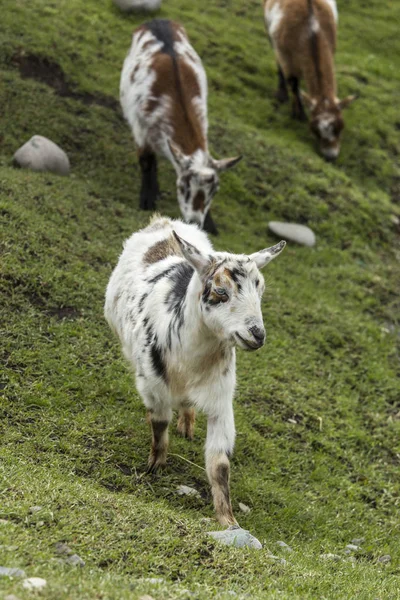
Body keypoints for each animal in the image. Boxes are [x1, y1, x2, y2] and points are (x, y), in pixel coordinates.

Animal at [120, 19, 242, 233]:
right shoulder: (141, 129)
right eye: (184, 187)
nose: (195, 220)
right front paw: (147, 200)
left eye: (214, 191)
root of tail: (157, 20)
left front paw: (210, 223)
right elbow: (146, 161)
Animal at [266, 0, 356, 159]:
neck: (311, 31)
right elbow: (293, 83)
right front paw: (299, 113)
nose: (330, 156)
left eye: (340, 127)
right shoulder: (286, 56)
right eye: (315, 129)